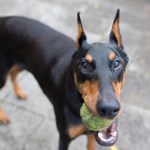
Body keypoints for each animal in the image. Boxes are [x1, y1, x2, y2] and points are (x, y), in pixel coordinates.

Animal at [0, 9, 129, 150]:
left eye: (116, 63)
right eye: (84, 65)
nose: (108, 109)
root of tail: (3, 19)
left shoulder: (92, 136)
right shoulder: (64, 137)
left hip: (19, 64)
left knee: (13, 74)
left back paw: (19, 92)